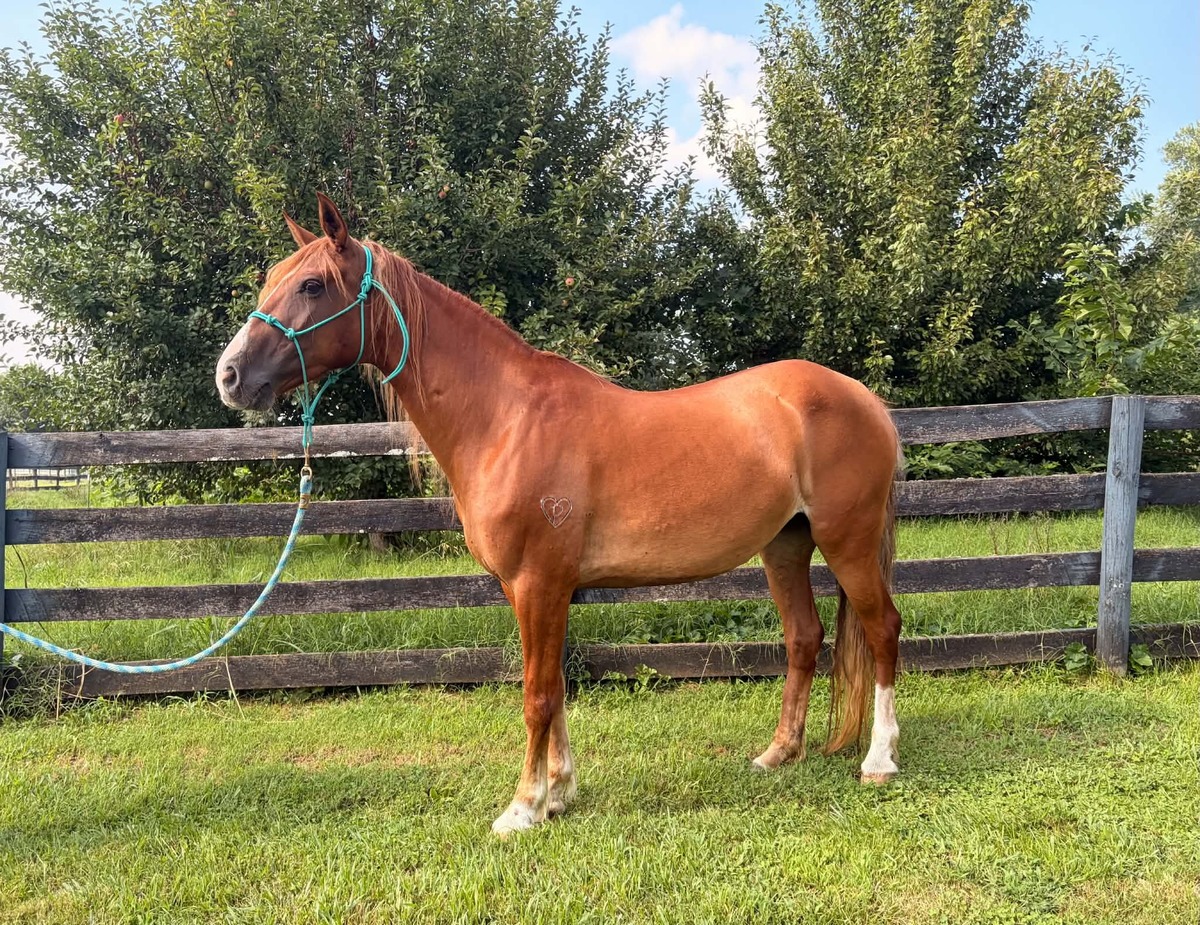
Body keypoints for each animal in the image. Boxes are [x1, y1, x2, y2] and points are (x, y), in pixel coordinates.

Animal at [216, 193, 905, 836]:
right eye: (273, 276)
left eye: (311, 284)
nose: (230, 376)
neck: (505, 418)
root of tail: (865, 399)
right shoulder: (536, 589)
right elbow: (555, 690)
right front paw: (559, 793)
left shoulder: (538, 582)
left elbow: (538, 695)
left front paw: (522, 808)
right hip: (785, 544)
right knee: (804, 637)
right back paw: (778, 753)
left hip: (846, 541)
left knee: (882, 629)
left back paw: (879, 760)